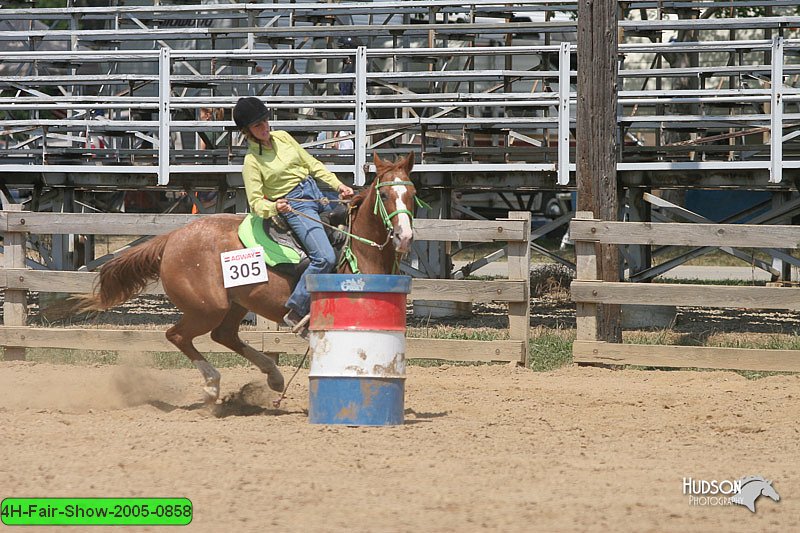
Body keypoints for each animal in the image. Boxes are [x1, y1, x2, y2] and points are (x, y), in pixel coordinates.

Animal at [78, 152, 418, 402]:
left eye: (412, 193)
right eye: (385, 193)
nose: (404, 236)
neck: (358, 247)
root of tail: (171, 237)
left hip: (235, 303)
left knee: (223, 335)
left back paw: (274, 377)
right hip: (207, 308)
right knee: (178, 335)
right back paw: (212, 384)